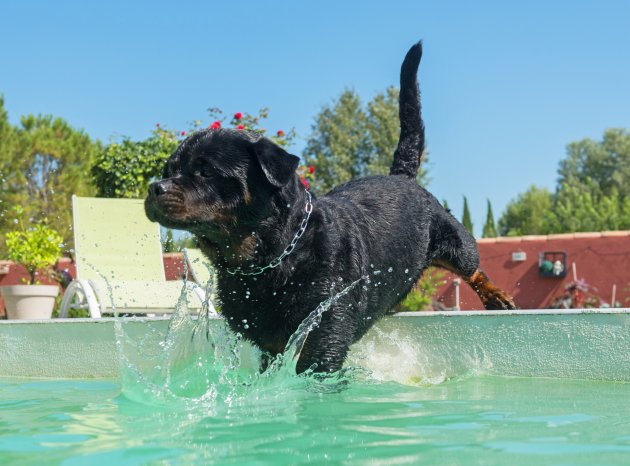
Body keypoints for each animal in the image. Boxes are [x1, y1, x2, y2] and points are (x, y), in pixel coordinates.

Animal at [147, 41, 520, 374]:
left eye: (206, 170)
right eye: (168, 170)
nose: (154, 187)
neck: (274, 256)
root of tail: (401, 176)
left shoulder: (324, 331)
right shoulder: (266, 344)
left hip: (449, 235)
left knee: (472, 265)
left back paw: (495, 297)